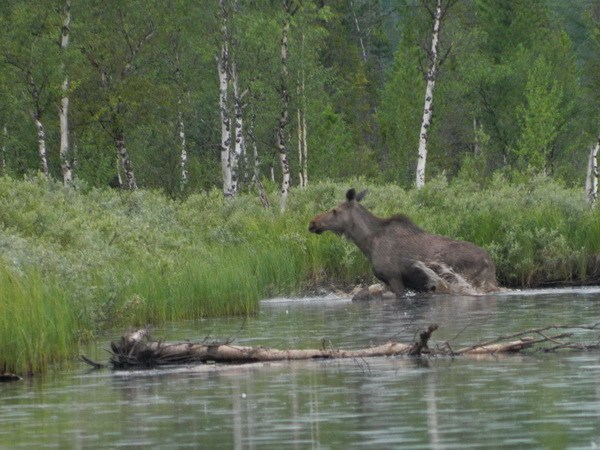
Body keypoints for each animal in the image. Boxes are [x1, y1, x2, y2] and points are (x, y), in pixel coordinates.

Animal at [308, 189, 500, 298]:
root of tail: (490, 261)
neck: (368, 244)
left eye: (335, 210)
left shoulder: (394, 278)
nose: (313, 223)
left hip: (474, 281)